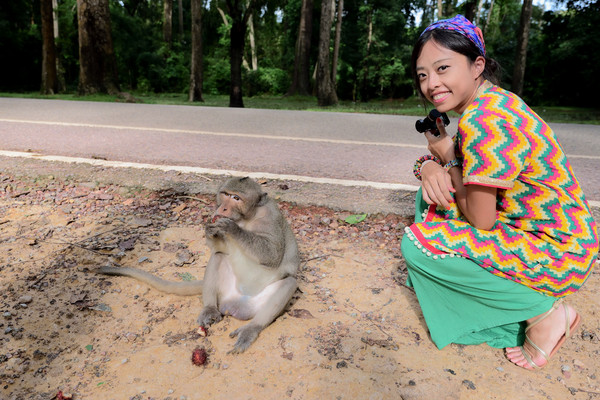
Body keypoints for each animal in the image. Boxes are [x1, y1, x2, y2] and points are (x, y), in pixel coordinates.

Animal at [100, 177, 302, 354]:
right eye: (226, 194)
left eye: (236, 198)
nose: (223, 207)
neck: (247, 217)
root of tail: (236, 305)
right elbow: (219, 248)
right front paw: (211, 231)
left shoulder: (270, 216)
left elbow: (272, 255)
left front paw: (231, 228)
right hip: (226, 293)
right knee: (218, 257)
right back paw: (210, 309)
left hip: (255, 304)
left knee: (289, 283)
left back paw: (251, 328)